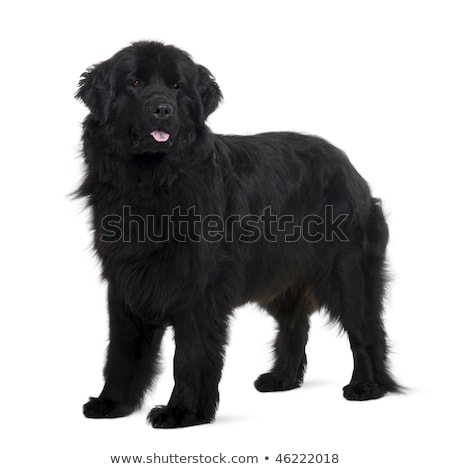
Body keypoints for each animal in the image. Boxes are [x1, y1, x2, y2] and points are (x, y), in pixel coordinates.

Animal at [75, 41, 400, 428]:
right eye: (136, 83)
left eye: (176, 86)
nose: (162, 109)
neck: (153, 180)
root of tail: (351, 170)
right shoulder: (126, 282)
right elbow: (122, 350)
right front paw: (112, 403)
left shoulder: (198, 290)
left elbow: (189, 356)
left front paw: (182, 412)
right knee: (295, 325)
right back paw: (281, 379)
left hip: (347, 273)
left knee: (365, 329)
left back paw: (367, 386)